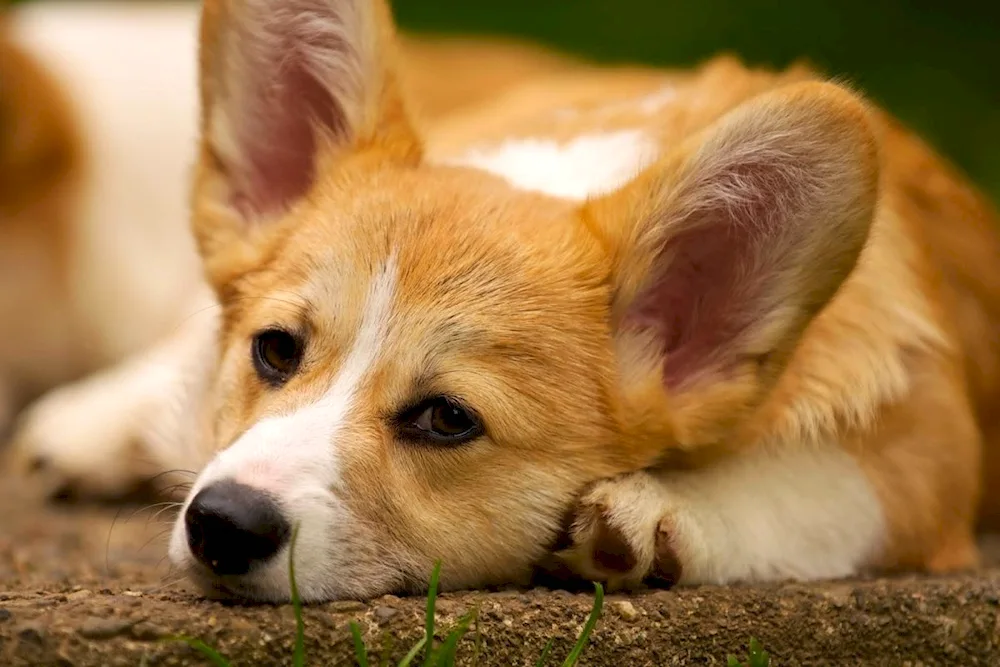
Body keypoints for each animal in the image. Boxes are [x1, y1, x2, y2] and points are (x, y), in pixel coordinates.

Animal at [5, 0, 1000, 604]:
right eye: (276, 350)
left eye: (448, 418)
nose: (222, 523)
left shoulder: (927, 454)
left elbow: (814, 489)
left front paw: (655, 518)